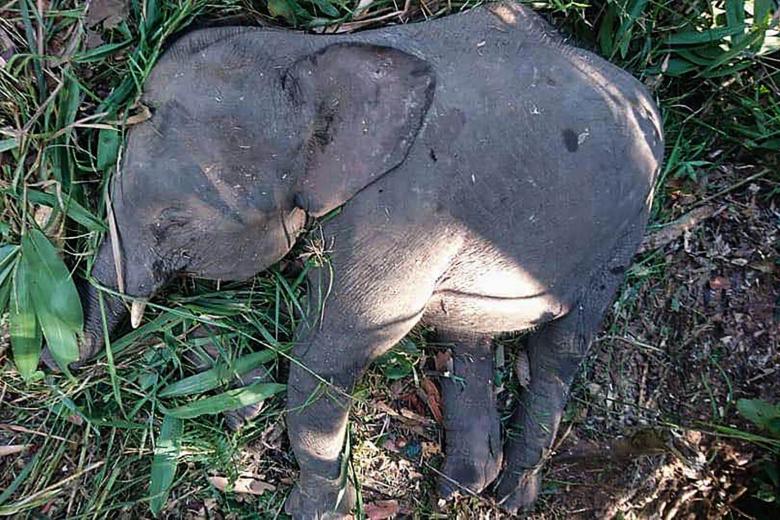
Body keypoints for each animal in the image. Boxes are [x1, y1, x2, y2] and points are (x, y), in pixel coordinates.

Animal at [63, 2, 664, 517]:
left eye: (175, 225)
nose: (58, 362)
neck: (312, 52)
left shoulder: (403, 213)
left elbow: (329, 352)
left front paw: (317, 509)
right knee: (465, 334)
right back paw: (460, 488)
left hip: (628, 224)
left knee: (561, 350)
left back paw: (512, 494)